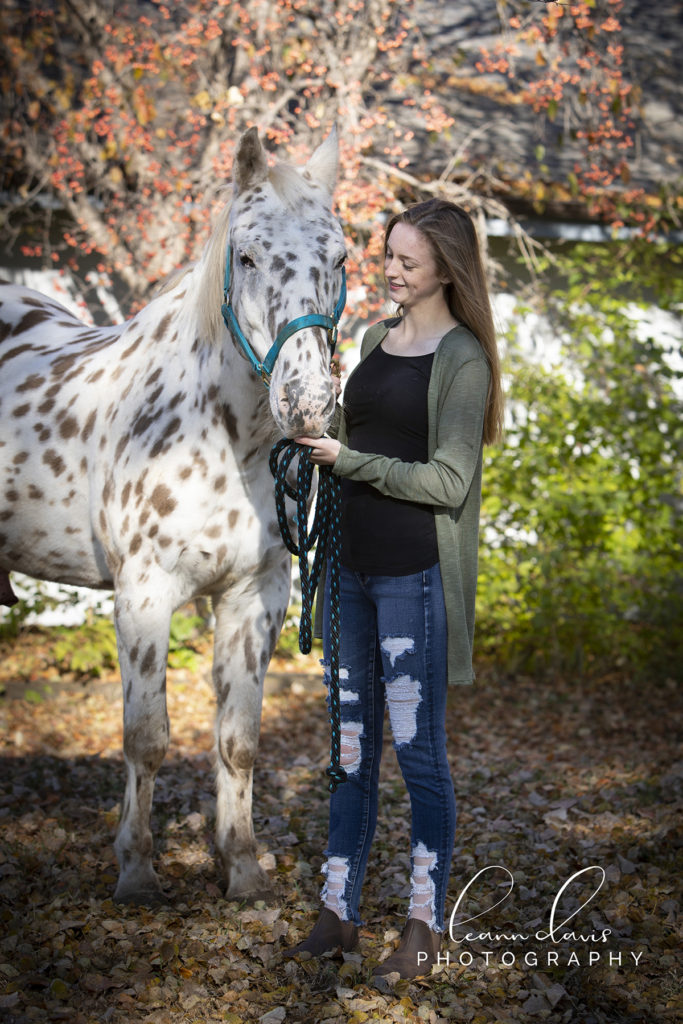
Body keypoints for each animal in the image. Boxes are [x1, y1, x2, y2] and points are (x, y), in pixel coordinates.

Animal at [0, 128, 344, 905]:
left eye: (339, 258)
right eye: (246, 256)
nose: (307, 403)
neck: (218, 434)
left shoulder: (254, 596)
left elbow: (237, 741)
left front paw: (242, 867)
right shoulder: (144, 593)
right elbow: (146, 738)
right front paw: (135, 870)